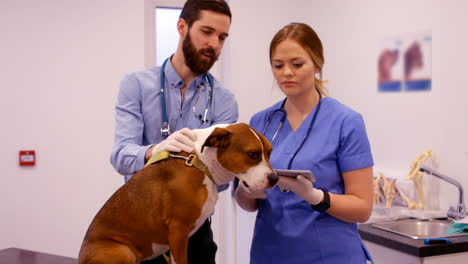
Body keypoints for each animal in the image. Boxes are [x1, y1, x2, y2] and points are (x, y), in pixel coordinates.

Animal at [78, 123, 280, 264]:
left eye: (270, 152)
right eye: (253, 154)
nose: (275, 178)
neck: (199, 163)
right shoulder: (178, 230)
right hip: (122, 251)